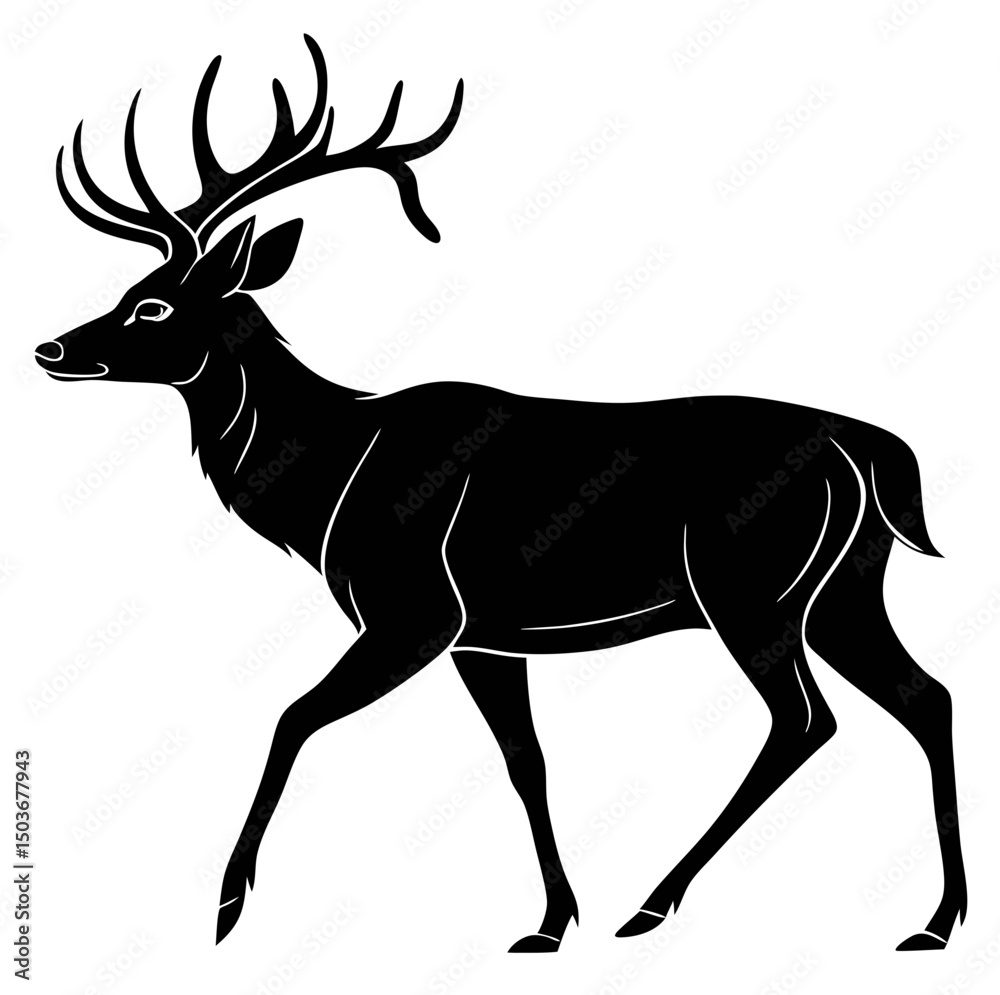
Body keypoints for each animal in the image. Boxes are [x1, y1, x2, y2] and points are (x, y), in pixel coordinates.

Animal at [37, 34, 967, 954]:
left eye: (152, 306)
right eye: (128, 292)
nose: (52, 347)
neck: (332, 481)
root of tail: (868, 450)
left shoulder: (416, 609)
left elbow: (292, 717)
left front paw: (227, 907)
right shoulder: (483, 635)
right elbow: (527, 761)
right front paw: (551, 920)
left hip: (747, 586)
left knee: (805, 719)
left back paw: (655, 902)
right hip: (843, 587)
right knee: (926, 696)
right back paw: (934, 921)